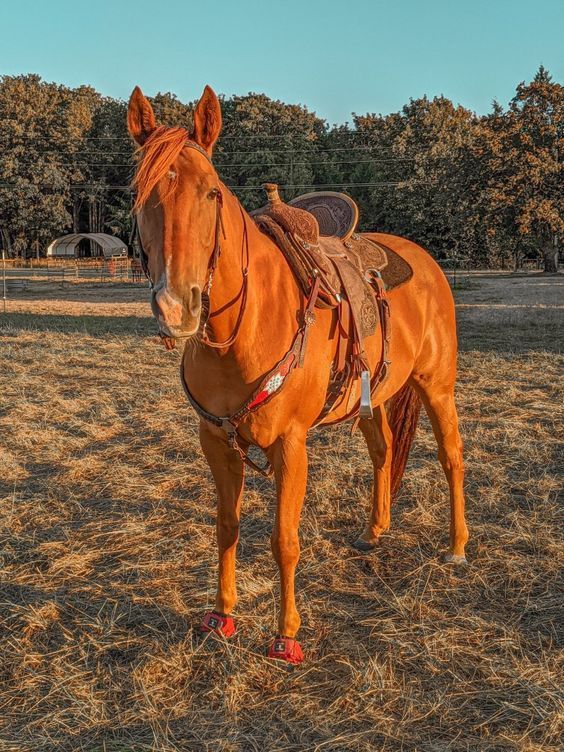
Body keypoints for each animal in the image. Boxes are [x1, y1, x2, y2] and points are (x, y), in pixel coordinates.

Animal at [130, 85, 470, 668]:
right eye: (139, 194)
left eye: (212, 193)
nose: (176, 308)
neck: (246, 326)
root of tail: (426, 262)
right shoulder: (216, 441)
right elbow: (227, 527)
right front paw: (222, 616)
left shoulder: (290, 444)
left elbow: (283, 540)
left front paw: (286, 636)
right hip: (375, 393)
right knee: (383, 451)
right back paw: (374, 531)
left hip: (436, 385)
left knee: (452, 455)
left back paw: (456, 547)